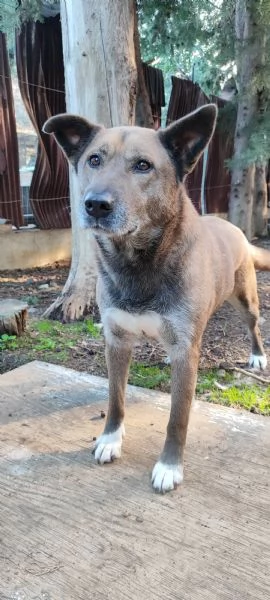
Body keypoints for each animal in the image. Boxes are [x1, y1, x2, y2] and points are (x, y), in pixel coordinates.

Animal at [43, 106, 268, 492]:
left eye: (143, 165)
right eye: (94, 159)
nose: (95, 205)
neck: (137, 265)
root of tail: (233, 227)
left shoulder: (184, 349)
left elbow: (178, 417)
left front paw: (169, 466)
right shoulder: (116, 340)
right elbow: (115, 399)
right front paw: (109, 440)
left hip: (245, 300)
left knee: (254, 325)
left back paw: (257, 357)